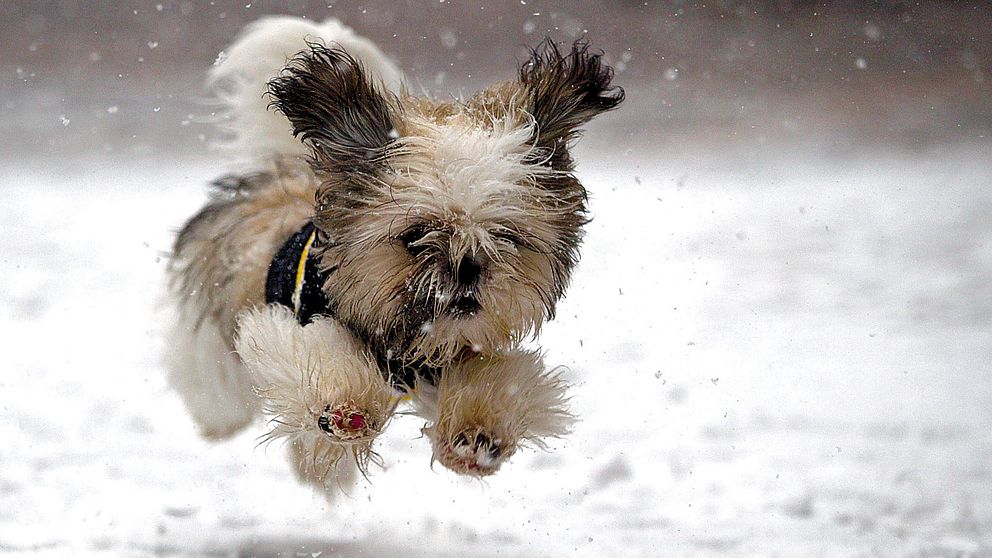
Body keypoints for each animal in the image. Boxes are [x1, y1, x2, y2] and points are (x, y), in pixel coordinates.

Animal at [167, 17, 624, 498]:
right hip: (210, 352)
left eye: (505, 236)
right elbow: (318, 356)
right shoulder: (291, 323)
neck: (405, 345)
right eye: (416, 235)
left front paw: (477, 434)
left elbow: (503, 380)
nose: (468, 267)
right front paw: (345, 406)